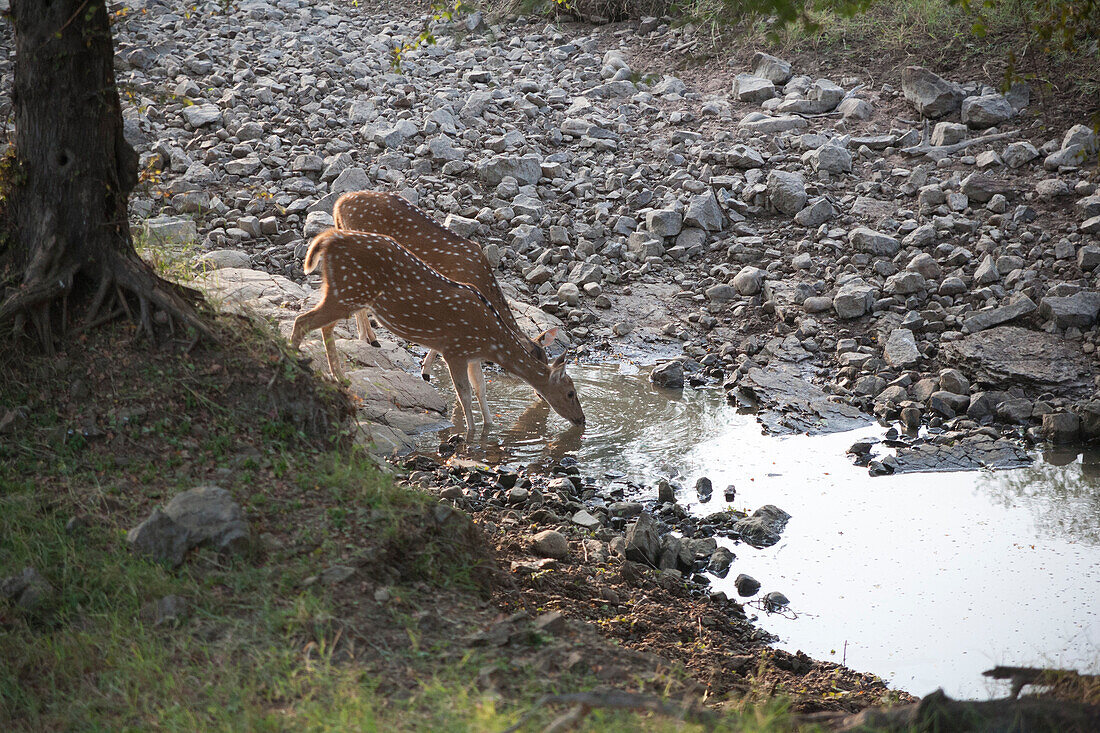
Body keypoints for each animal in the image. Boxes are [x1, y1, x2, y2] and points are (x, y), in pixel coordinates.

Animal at [290, 228, 585, 433]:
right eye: (571, 392)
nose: (582, 420)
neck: (491, 342)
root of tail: (327, 239)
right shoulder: (455, 349)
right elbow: (464, 395)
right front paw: (471, 433)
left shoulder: (473, 356)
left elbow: (481, 390)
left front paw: (490, 428)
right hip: (348, 290)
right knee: (303, 320)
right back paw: (295, 360)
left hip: (343, 293)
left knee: (322, 325)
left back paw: (338, 376)